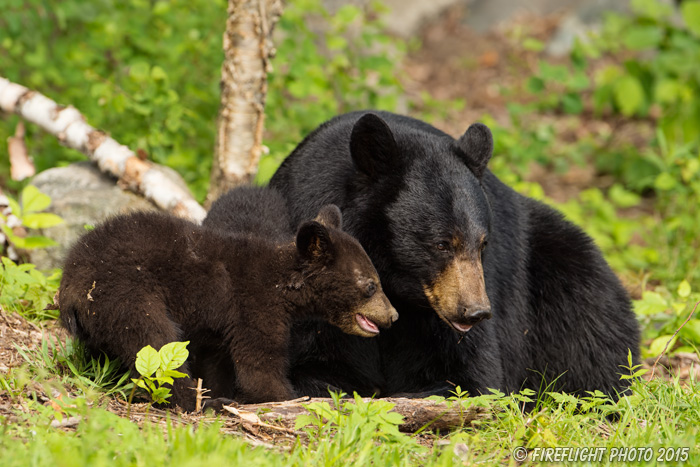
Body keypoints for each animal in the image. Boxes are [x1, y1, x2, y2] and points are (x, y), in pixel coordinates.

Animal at [58, 196, 400, 412]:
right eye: (371, 286)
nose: (393, 315)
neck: (283, 287)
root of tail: (69, 282)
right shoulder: (254, 306)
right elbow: (259, 364)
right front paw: (285, 396)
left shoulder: (219, 327)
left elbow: (218, 362)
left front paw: (221, 389)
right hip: (126, 292)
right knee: (155, 343)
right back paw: (202, 404)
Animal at [268, 111, 640, 400]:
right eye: (441, 243)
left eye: (483, 244)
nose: (476, 311)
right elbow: (312, 364)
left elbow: (471, 377)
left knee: (591, 326)